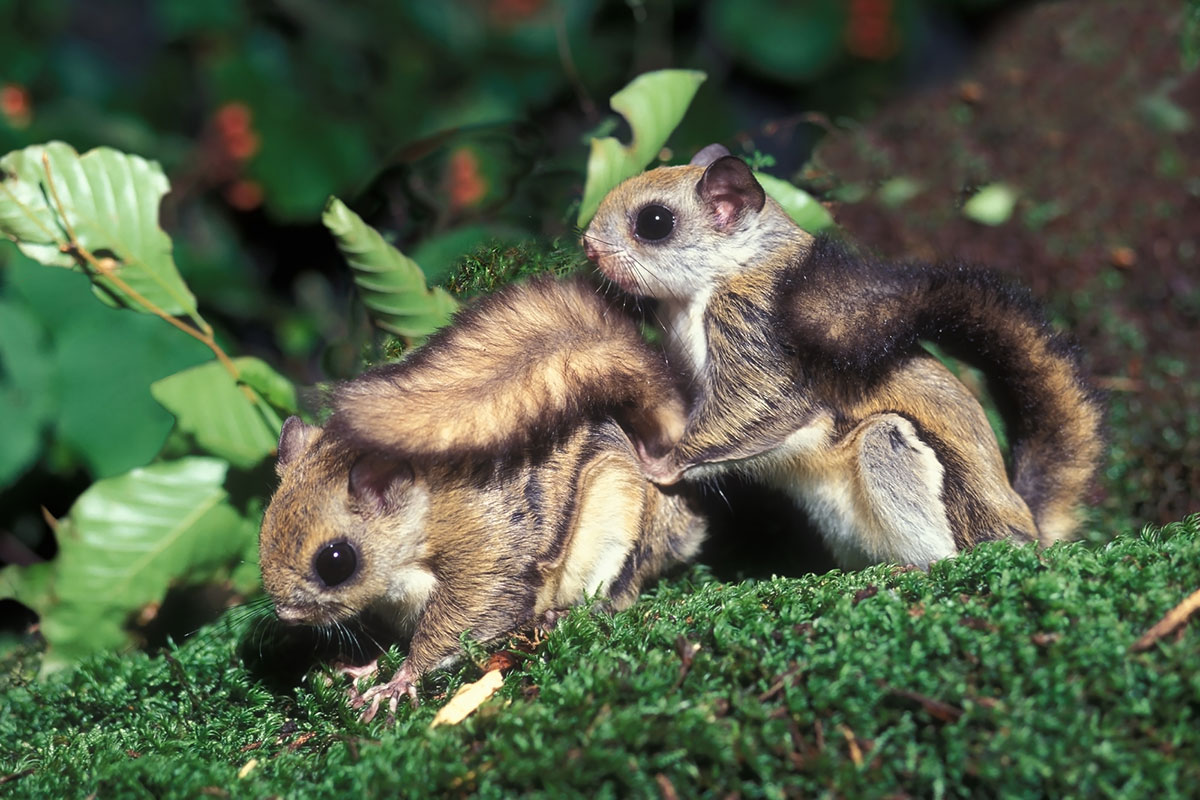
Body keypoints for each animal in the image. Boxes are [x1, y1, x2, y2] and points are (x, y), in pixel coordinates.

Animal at [254, 278, 700, 724]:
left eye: (336, 561)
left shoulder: (486, 555)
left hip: (614, 524)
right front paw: (366, 666)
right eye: (263, 531)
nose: (286, 616)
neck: (422, 519)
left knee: (620, 594)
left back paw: (564, 614)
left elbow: (464, 618)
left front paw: (399, 680)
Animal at [576, 143, 1099, 568]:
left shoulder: (754, 332)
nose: (588, 246)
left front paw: (656, 462)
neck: (726, 272)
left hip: (893, 450)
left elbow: (746, 414)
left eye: (654, 222)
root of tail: (1026, 527)